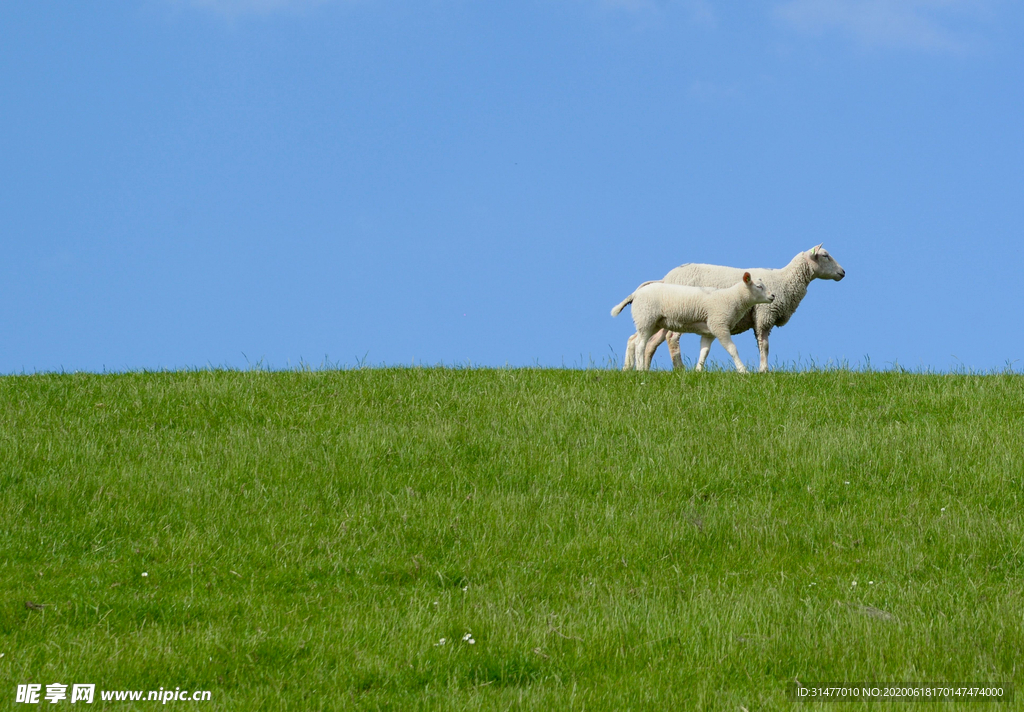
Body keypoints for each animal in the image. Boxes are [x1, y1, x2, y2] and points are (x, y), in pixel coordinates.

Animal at [606, 272, 774, 372]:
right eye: (759, 286)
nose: (773, 296)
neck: (733, 298)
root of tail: (635, 293)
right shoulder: (719, 325)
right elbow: (732, 349)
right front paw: (743, 370)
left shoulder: (709, 331)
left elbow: (704, 351)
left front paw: (698, 370)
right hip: (646, 317)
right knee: (640, 344)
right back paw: (640, 369)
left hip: (652, 322)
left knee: (634, 340)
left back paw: (628, 368)